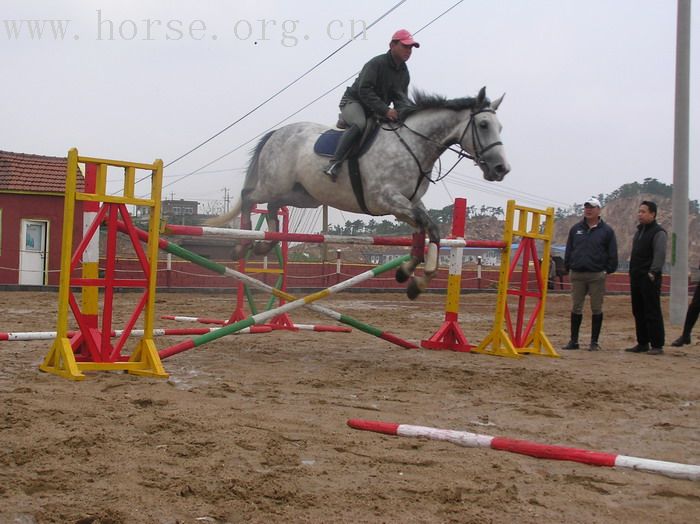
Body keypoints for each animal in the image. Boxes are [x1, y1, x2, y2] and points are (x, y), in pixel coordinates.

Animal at [206, 87, 508, 298]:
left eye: (500, 127)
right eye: (483, 125)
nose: (501, 168)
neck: (413, 145)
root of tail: (278, 132)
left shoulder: (409, 204)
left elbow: (426, 230)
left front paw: (408, 276)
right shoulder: (388, 200)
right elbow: (429, 227)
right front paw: (417, 278)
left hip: (304, 196)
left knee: (271, 206)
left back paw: (264, 244)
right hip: (274, 184)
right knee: (249, 197)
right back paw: (242, 244)